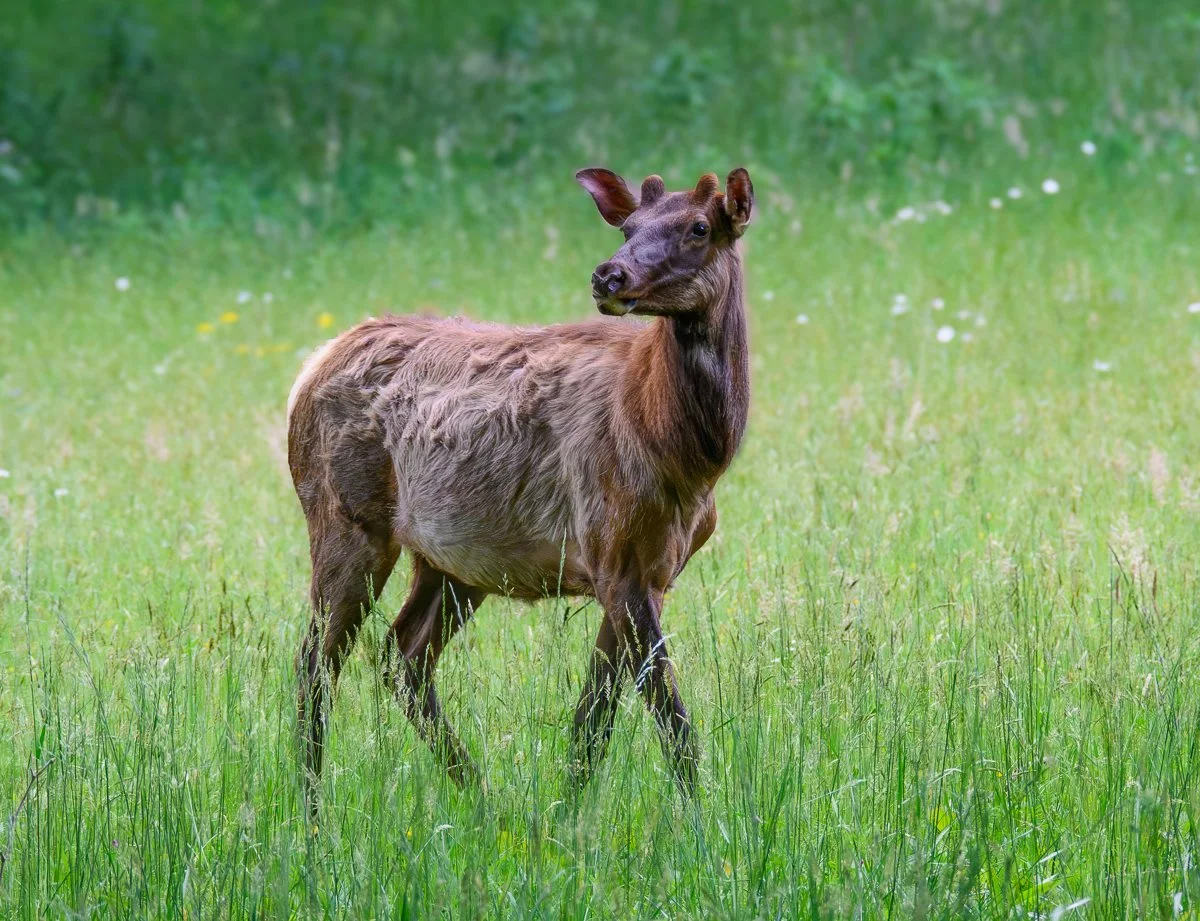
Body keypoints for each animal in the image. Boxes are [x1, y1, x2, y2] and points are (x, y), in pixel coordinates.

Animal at [287, 166, 753, 809]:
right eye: (628, 227)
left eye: (700, 227)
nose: (608, 275)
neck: (685, 454)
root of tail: (311, 367)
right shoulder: (612, 549)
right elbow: (670, 719)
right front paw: (702, 824)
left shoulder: (652, 570)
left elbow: (593, 719)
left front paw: (567, 815)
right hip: (346, 520)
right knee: (315, 666)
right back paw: (312, 814)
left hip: (451, 561)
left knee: (402, 655)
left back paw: (482, 800)